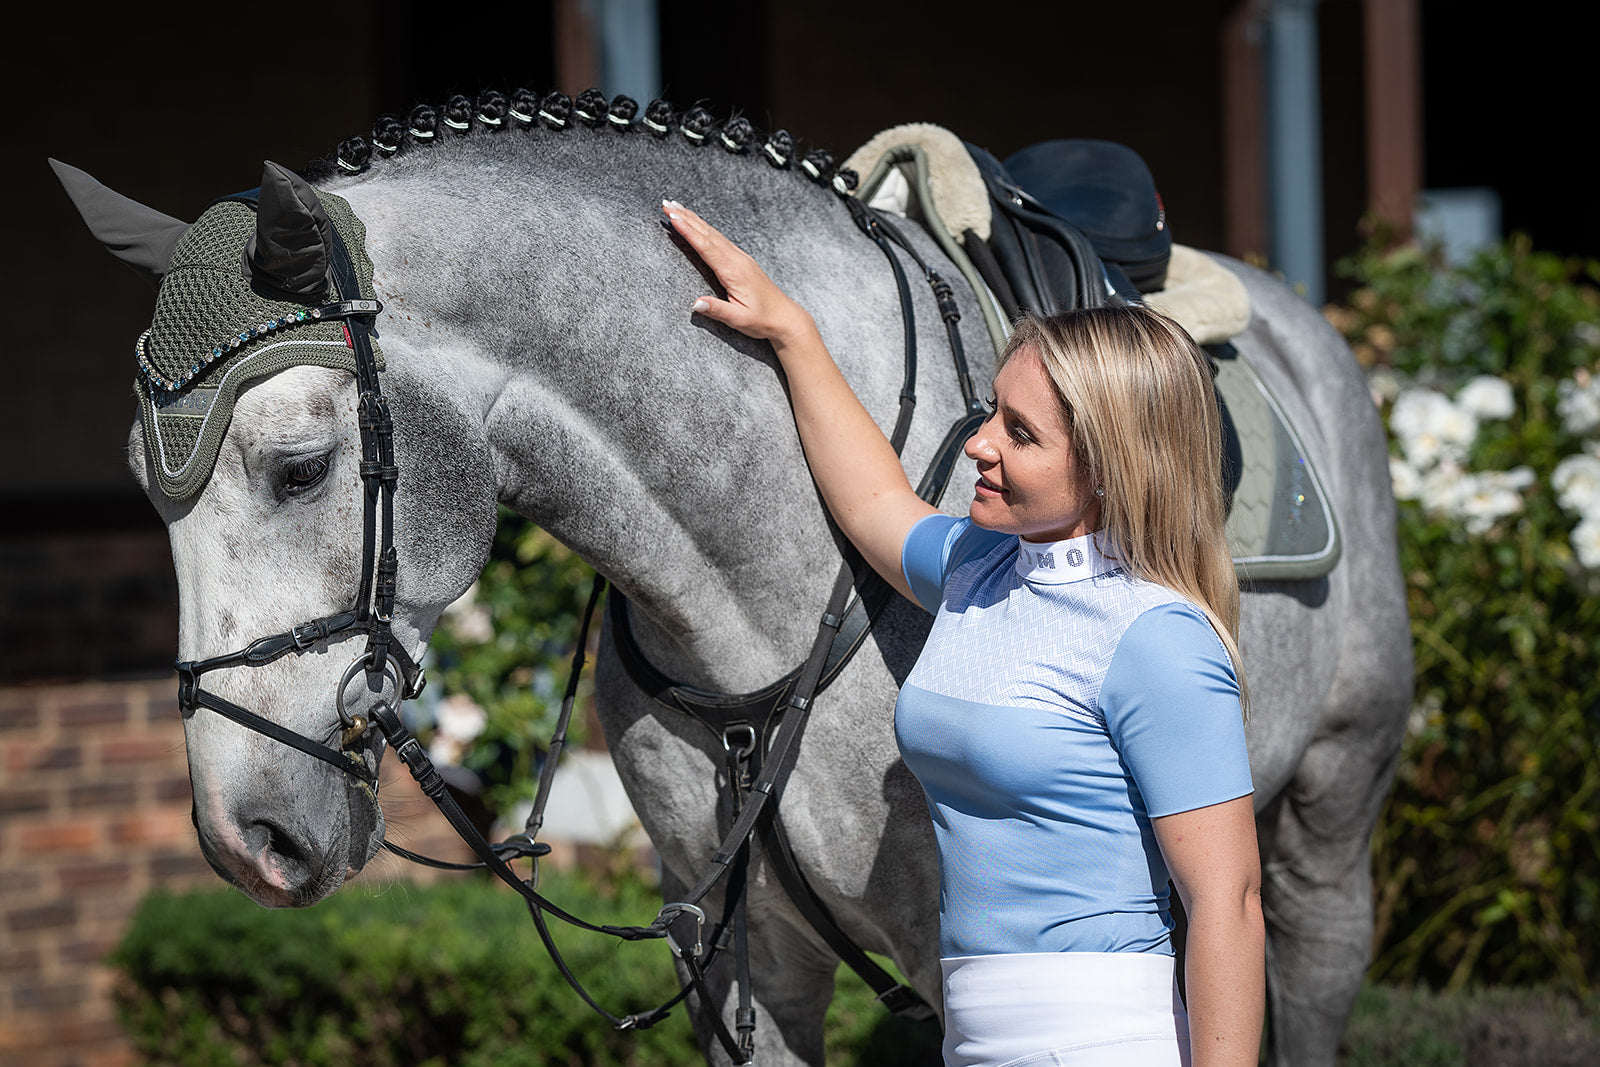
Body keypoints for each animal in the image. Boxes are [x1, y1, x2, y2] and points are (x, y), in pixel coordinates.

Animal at [59, 97, 1414, 1062]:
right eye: (140, 486)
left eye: (299, 466)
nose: (250, 838)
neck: (773, 577)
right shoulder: (734, 953)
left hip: (1327, 823)